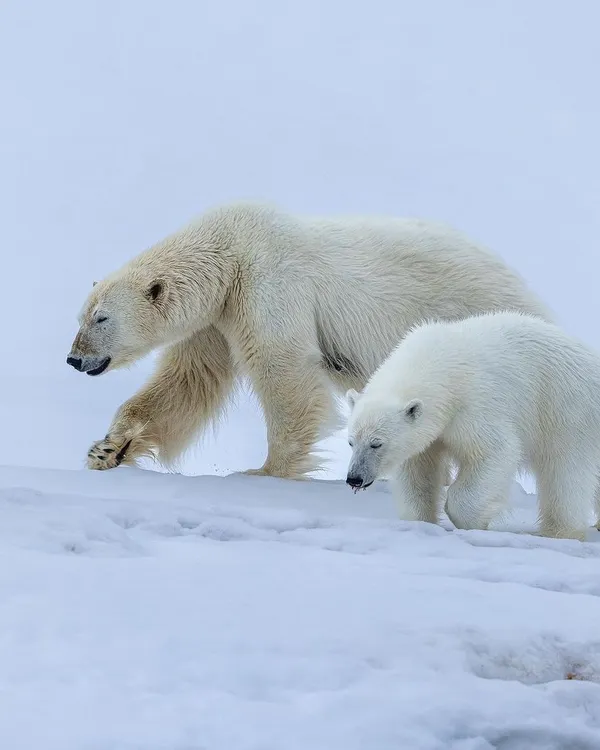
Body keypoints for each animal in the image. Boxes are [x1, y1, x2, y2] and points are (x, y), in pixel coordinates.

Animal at [66, 201, 552, 480]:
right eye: (81, 316)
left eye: (101, 317)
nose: (74, 359)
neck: (229, 251)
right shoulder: (215, 318)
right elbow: (187, 382)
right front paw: (106, 449)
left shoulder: (269, 284)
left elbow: (284, 371)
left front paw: (264, 472)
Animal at [345, 310, 600, 540]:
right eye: (351, 442)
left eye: (376, 444)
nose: (354, 478)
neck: (439, 363)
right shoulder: (429, 432)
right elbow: (417, 470)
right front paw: (420, 521)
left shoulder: (474, 405)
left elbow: (495, 451)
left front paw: (477, 522)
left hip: (565, 410)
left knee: (565, 474)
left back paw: (559, 532)